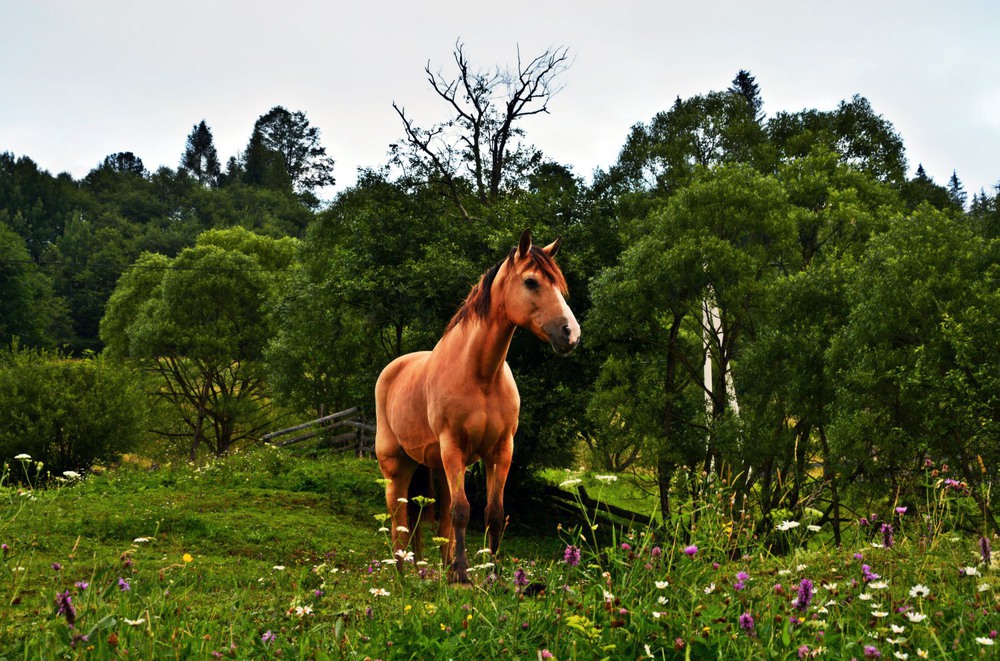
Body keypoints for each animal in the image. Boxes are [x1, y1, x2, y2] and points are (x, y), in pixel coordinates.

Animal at [374, 229, 580, 580]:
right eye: (531, 282)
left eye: (559, 284)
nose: (571, 333)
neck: (481, 375)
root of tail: (391, 370)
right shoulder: (453, 447)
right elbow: (462, 511)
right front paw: (463, 576)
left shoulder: (501, 450)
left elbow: (492, 513)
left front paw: (491, 575)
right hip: (397, 466)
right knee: (398, 518)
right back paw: (402, 578)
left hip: (432, 466)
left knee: (433, 518)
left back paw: (433, 573)